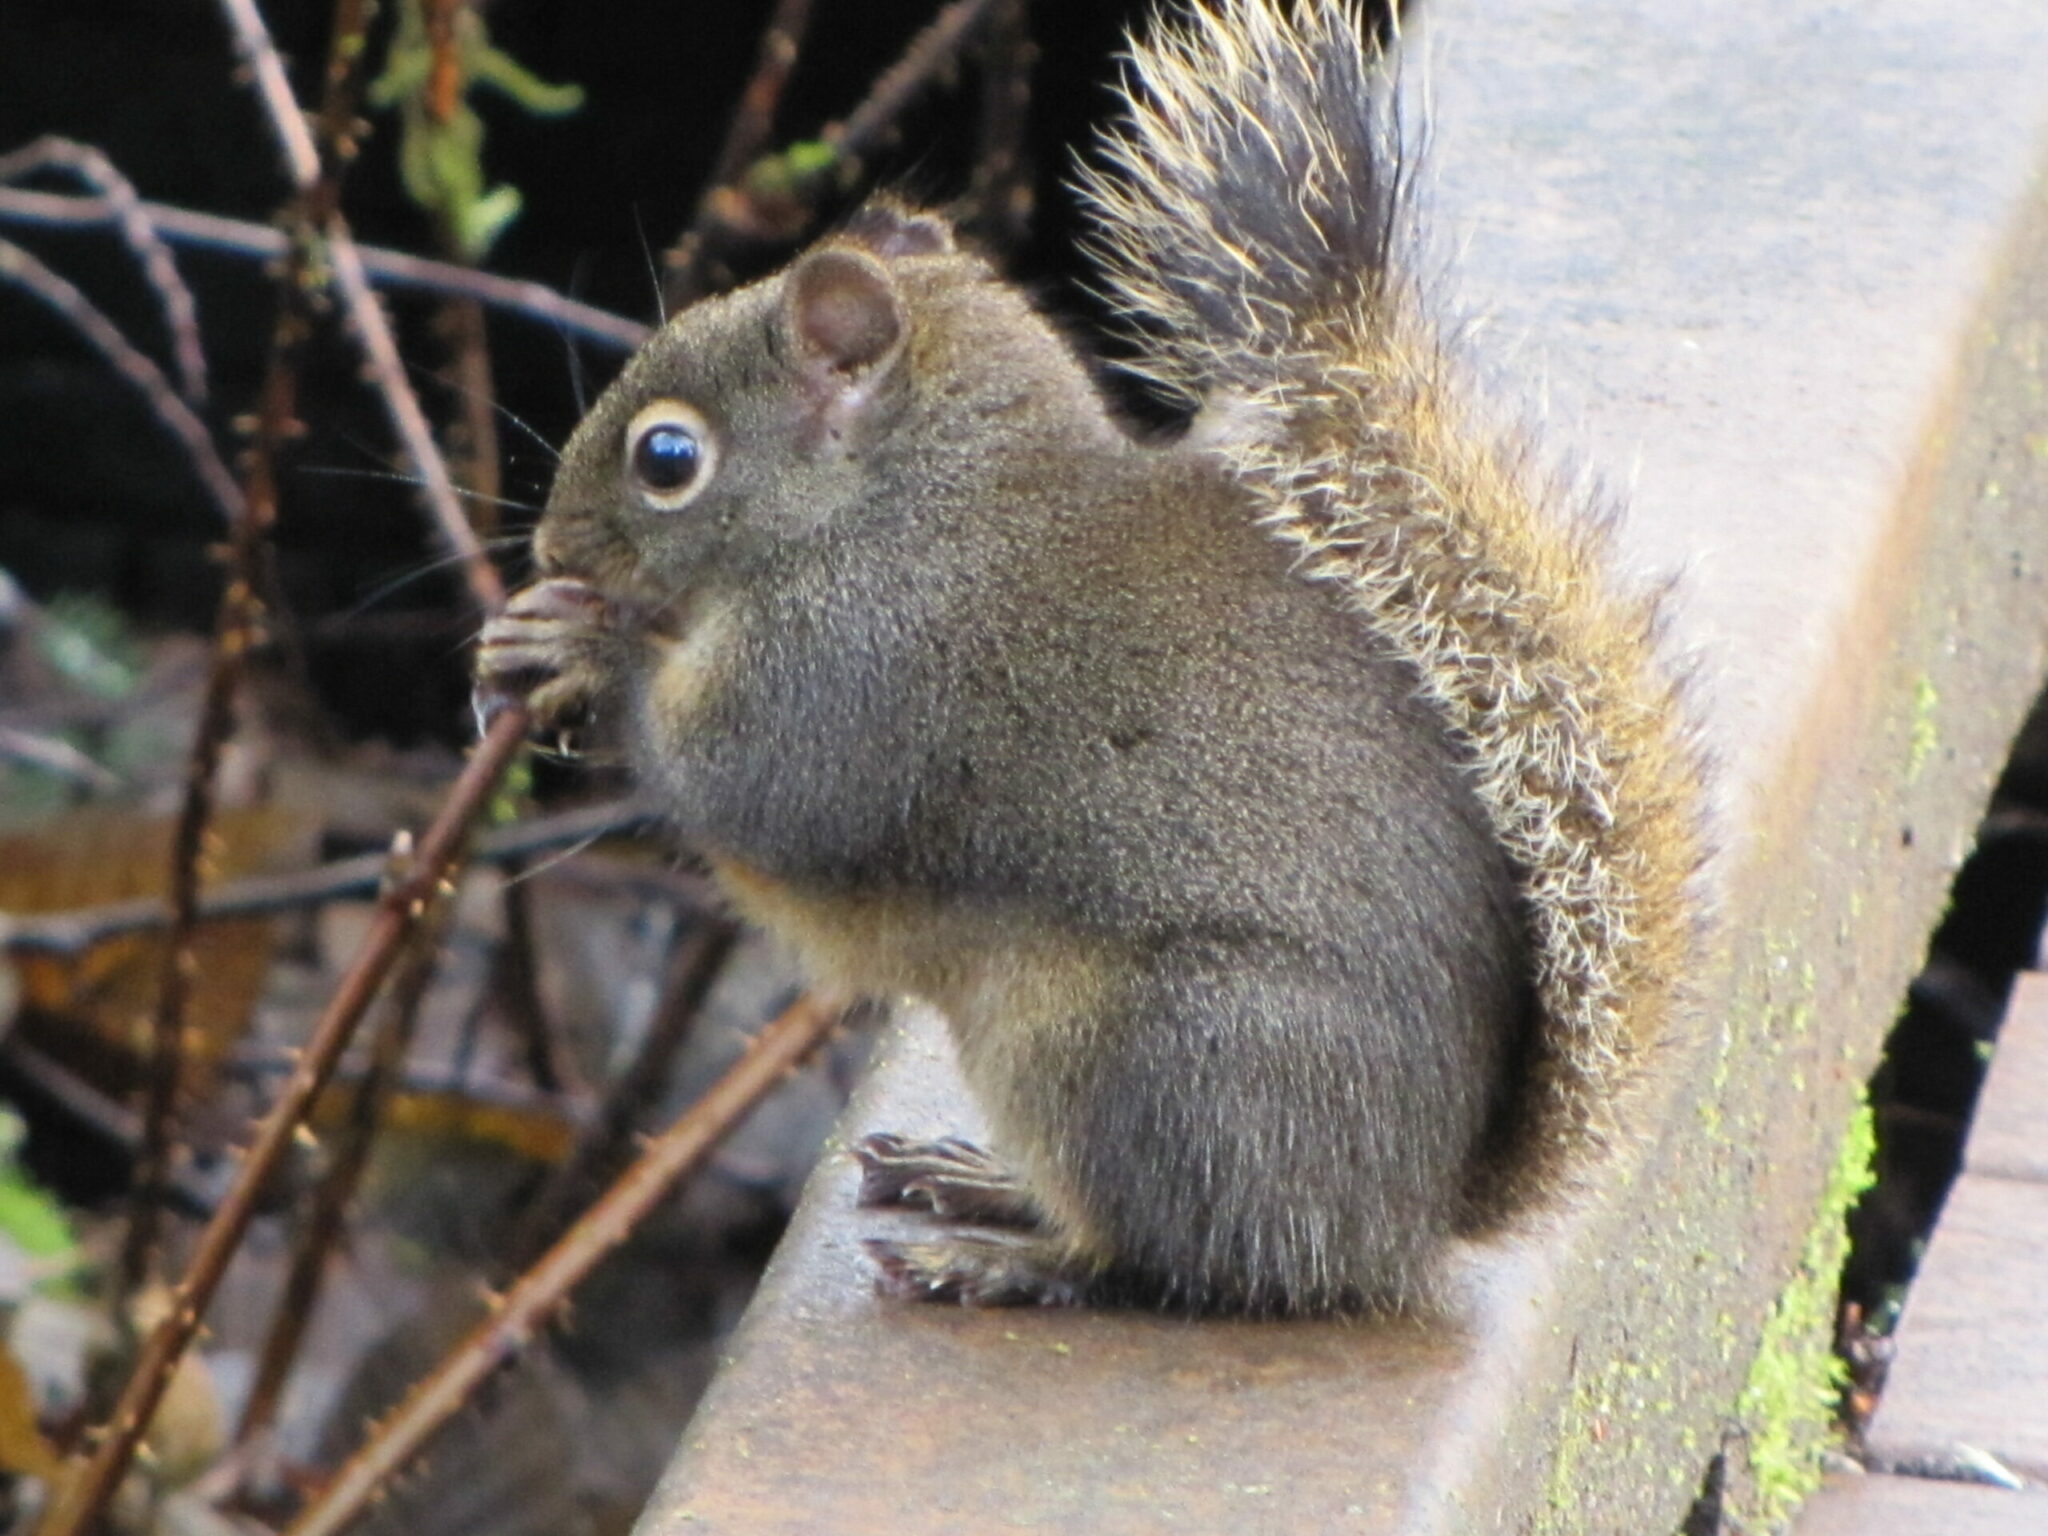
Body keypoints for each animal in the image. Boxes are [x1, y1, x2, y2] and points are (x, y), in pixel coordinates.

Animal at [475, 3, 1695, 1327]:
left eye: (666, 458)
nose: (550, 546)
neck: (909, 505)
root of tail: (1403, 1219)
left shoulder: (851, 671)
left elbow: (748, 792)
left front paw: (583, 640)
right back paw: (983, 1186)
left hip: (1130, 1056)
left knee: (1164, 1255)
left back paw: (1002, 1254)